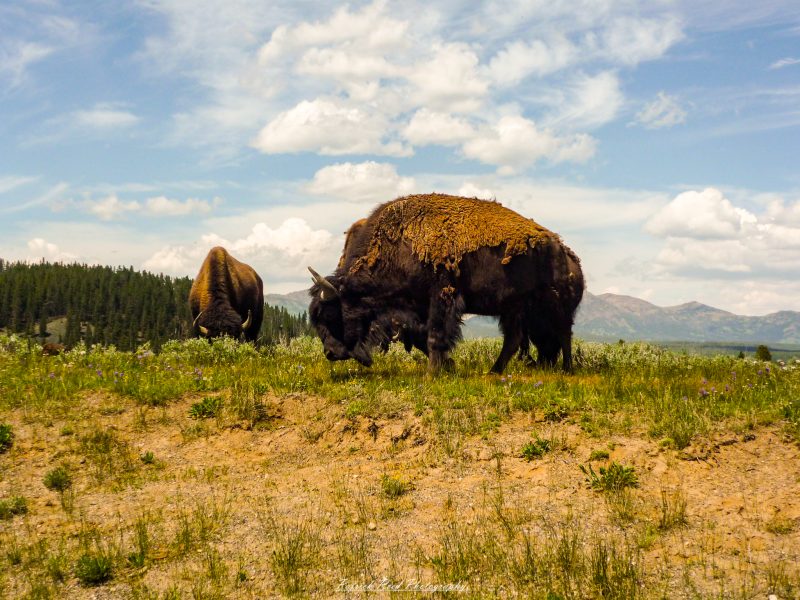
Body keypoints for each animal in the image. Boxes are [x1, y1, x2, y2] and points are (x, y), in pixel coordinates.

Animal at [309, 194, 583, 374]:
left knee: (563, 334)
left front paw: (433, 373)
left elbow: (435, 335)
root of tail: (566, 253)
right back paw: (493, 372)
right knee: (514, 340)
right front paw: (447, 366)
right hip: (513, 309)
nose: (330, 353)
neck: (397, 247)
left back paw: (567, 370)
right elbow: (424, 338)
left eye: (330, 315)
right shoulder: (418, 307)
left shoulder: (441, 296)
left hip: (554, 308)